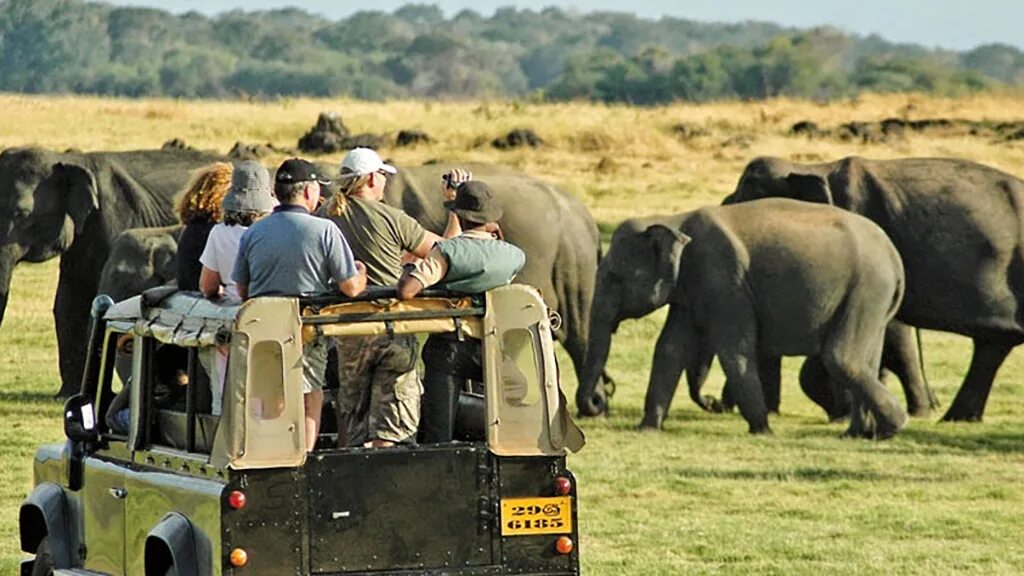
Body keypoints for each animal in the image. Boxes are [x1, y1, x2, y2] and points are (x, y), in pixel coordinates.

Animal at [581, 194, 909, 436]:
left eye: (614, 278)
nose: (599, 401)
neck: (674, 220)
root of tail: (894, 257)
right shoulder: (690, 290)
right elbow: (669, 349)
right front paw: (647, 428)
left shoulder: (724, 279)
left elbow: (734, 350)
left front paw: (762, 431)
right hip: (872, 299)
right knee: (868, 359)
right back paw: (860, 433)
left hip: (866, 288)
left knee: (841, 357)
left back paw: (895, 425)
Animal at [720, 156, 1024, 422]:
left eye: (749, 198)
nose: (718, 406)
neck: (814, 167)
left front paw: (842, 412)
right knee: (993, 345)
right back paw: (957, 417)